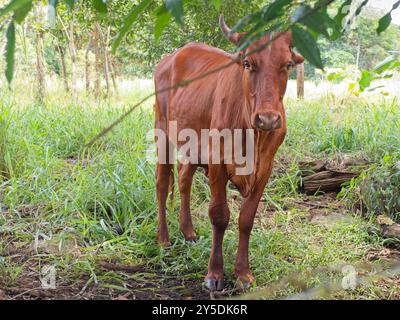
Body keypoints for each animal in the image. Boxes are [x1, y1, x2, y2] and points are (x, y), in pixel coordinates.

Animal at [153, 15, 304, 292]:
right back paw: (164, 239)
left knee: (183, 179)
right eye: (247, 63)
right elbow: (219, 215)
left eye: (287, 64)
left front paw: (243, 273)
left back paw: (188, 231)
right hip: (162, 132)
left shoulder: (265, 168)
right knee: (162, 182)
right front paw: (214, 273)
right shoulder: (217, 162)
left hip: (192, 144)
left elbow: (246, 218)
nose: (268, 118)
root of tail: (172, 57)